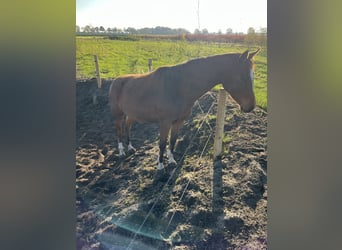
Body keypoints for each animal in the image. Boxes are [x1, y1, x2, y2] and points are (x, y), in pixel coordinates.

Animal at [109, 48, 260, 170]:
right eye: (241, 77)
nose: (251, 106)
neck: (179, 86)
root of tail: (116, 80)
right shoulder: (165, 122)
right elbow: (162, 143)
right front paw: (160, 166)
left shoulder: (179, 121)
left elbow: (173, 141)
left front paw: (171, 161)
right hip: (117, 114)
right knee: (118, 130)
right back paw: (121, 151)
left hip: (131, 114)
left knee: (127, 126)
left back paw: (130, 148)